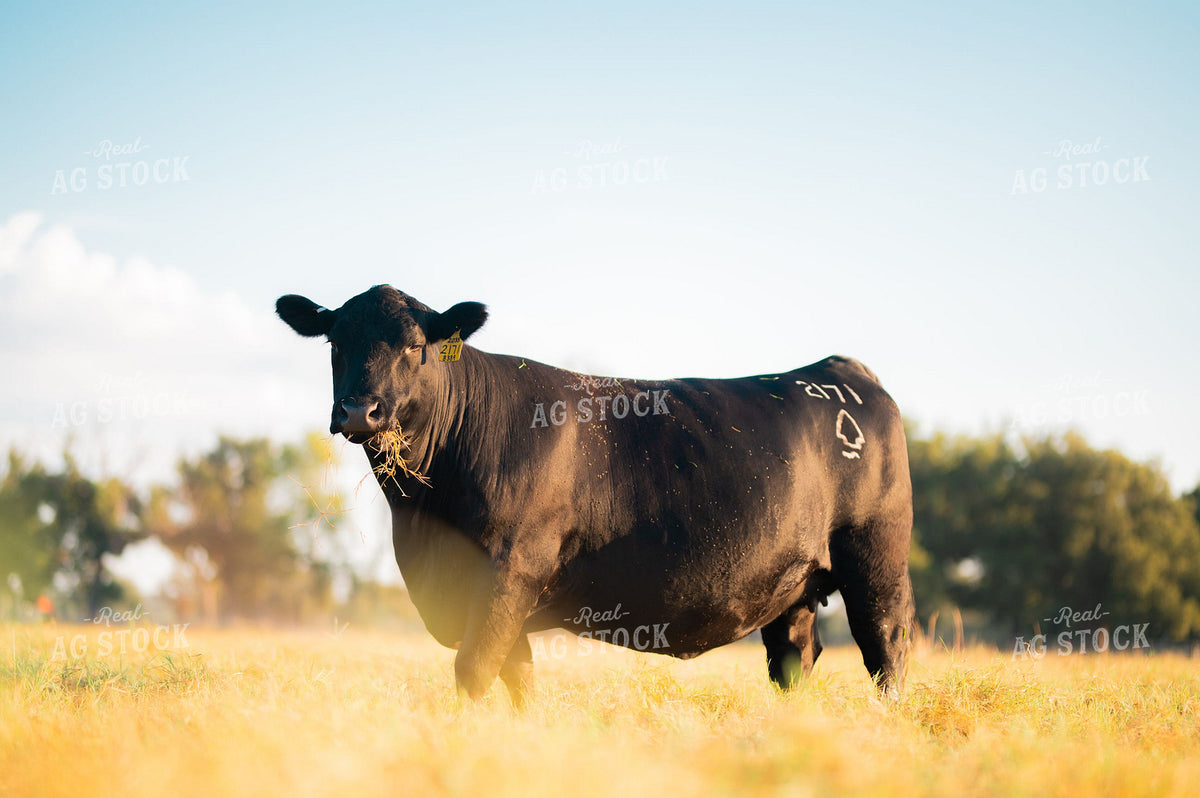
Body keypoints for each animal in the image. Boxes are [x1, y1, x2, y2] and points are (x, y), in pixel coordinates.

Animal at [277, 284, 915, 705]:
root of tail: (840, 370)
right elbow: (519, 679)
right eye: (334, 341)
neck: (422, 519)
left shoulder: (510, 569)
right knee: (793, 661)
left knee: (886, 648)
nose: (358, 410)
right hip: (794, 585)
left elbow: (474, 670)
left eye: (414, 346)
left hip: (876, 561)